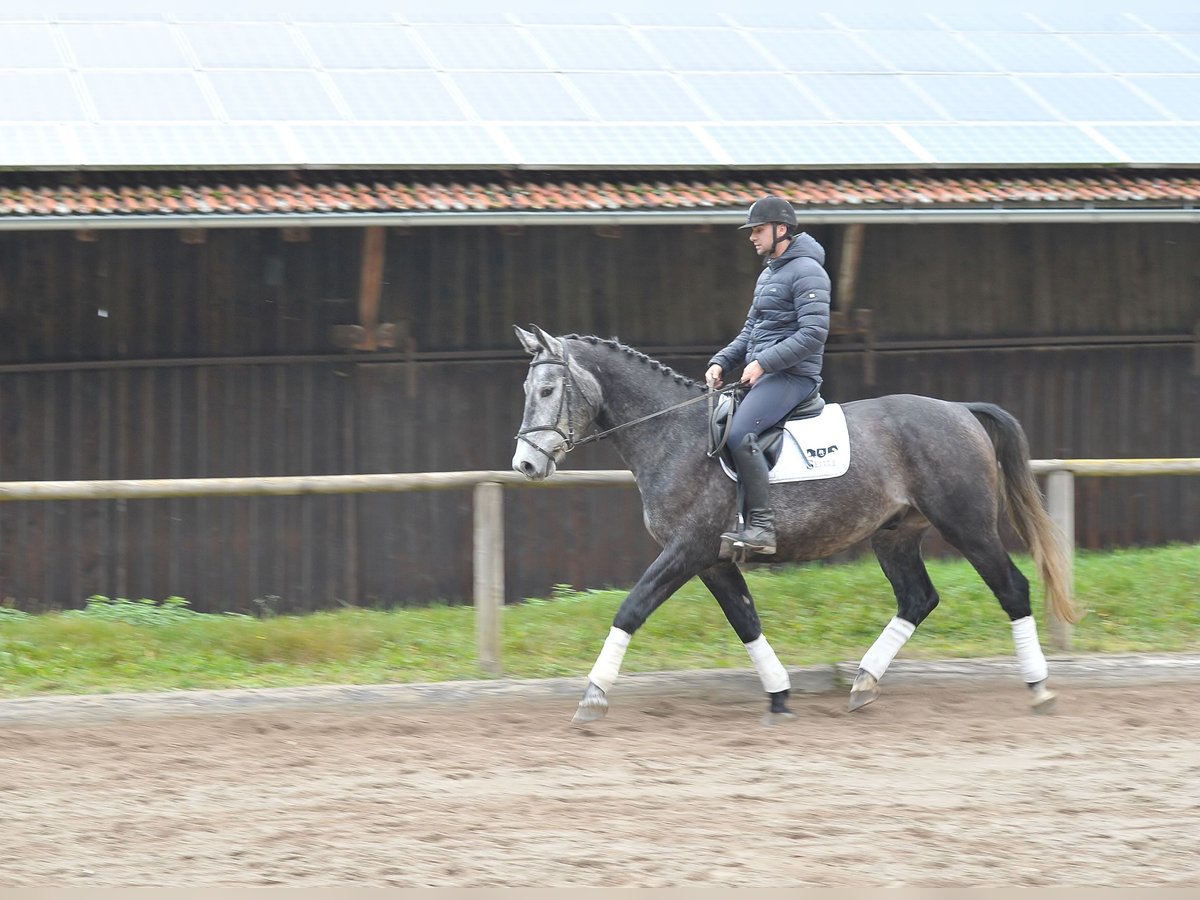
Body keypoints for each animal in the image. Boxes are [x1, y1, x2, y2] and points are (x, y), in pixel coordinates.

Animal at [506, 324, 1080, 724]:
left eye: (549, 390)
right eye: (528, 390)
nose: (526, 465)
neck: (672, 435)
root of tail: (959, 409)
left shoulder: (686, 551)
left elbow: (630, 610)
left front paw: (593, 696)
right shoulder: (712, 561)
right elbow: (746, 621)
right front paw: (780, 696)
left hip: (968, 526)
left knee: (1011, 588)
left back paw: (1040, 688)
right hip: (895, 534)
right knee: (918, 598)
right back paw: (864, 683)